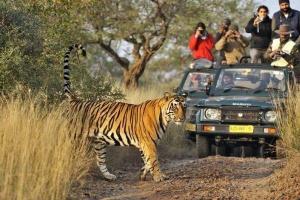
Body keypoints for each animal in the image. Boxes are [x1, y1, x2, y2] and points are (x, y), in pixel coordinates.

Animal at [62, 44, 185, 182]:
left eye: (184, 107)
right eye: (175, 107)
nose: (182, 118)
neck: (165, 119)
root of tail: (75, 100)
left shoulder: (144, 143)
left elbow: (146, 161)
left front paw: (143, 174)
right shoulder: (148, 142)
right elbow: (153, 160)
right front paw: (159, 177)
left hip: (99, 142)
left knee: (100, 160)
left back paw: (109, 176)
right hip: (74, 136)